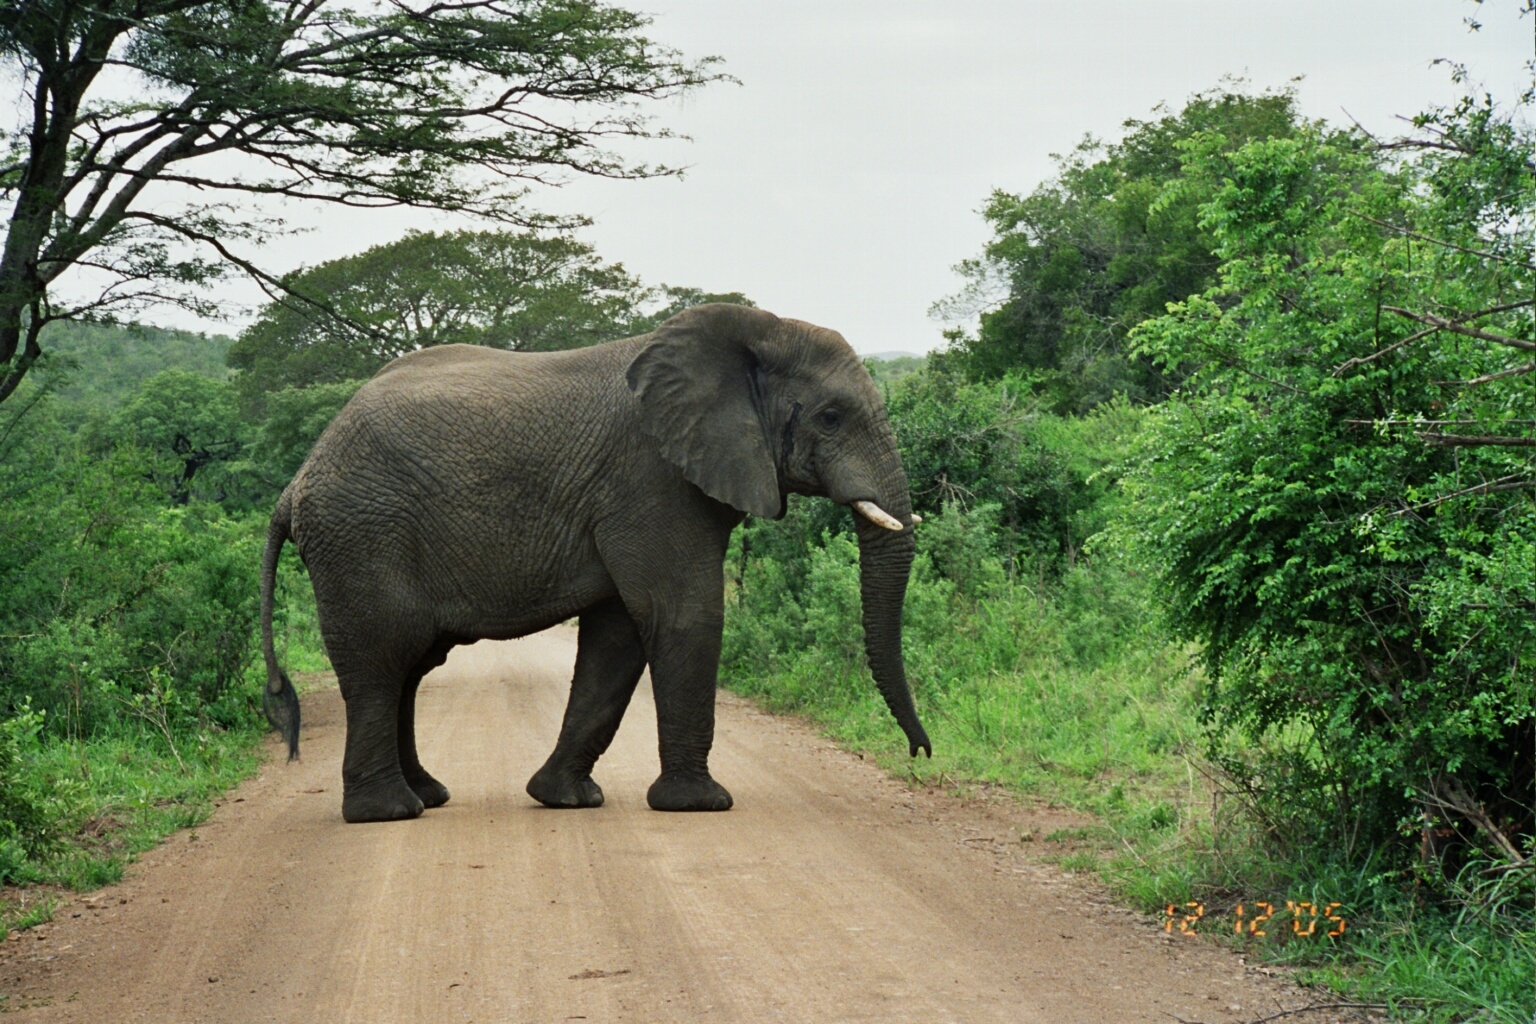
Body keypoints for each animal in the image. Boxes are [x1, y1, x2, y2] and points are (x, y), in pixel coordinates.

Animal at [258, 303, 927, 822]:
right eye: (831, 417)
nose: (920, 754)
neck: (755, 333)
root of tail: (295, 485)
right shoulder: (651, 478)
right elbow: (683, 615)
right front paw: (701, 803)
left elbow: (619, 636)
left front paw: (565, 799)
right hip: (361, 537)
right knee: (380, 659)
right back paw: (389, 812)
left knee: (411, 665)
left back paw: (429, 796)